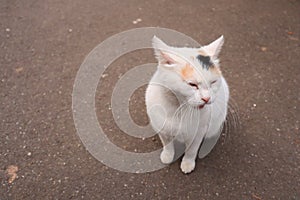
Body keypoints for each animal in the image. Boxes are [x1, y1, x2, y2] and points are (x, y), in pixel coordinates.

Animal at [146, 36, 230, 173]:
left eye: (213, 82)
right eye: (192, 84)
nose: (206, 98)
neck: (179, 108)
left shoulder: (198, 133)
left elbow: (191, 150)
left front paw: (187, 163)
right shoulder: (161, 127)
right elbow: (167, 144)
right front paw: (167, 155)